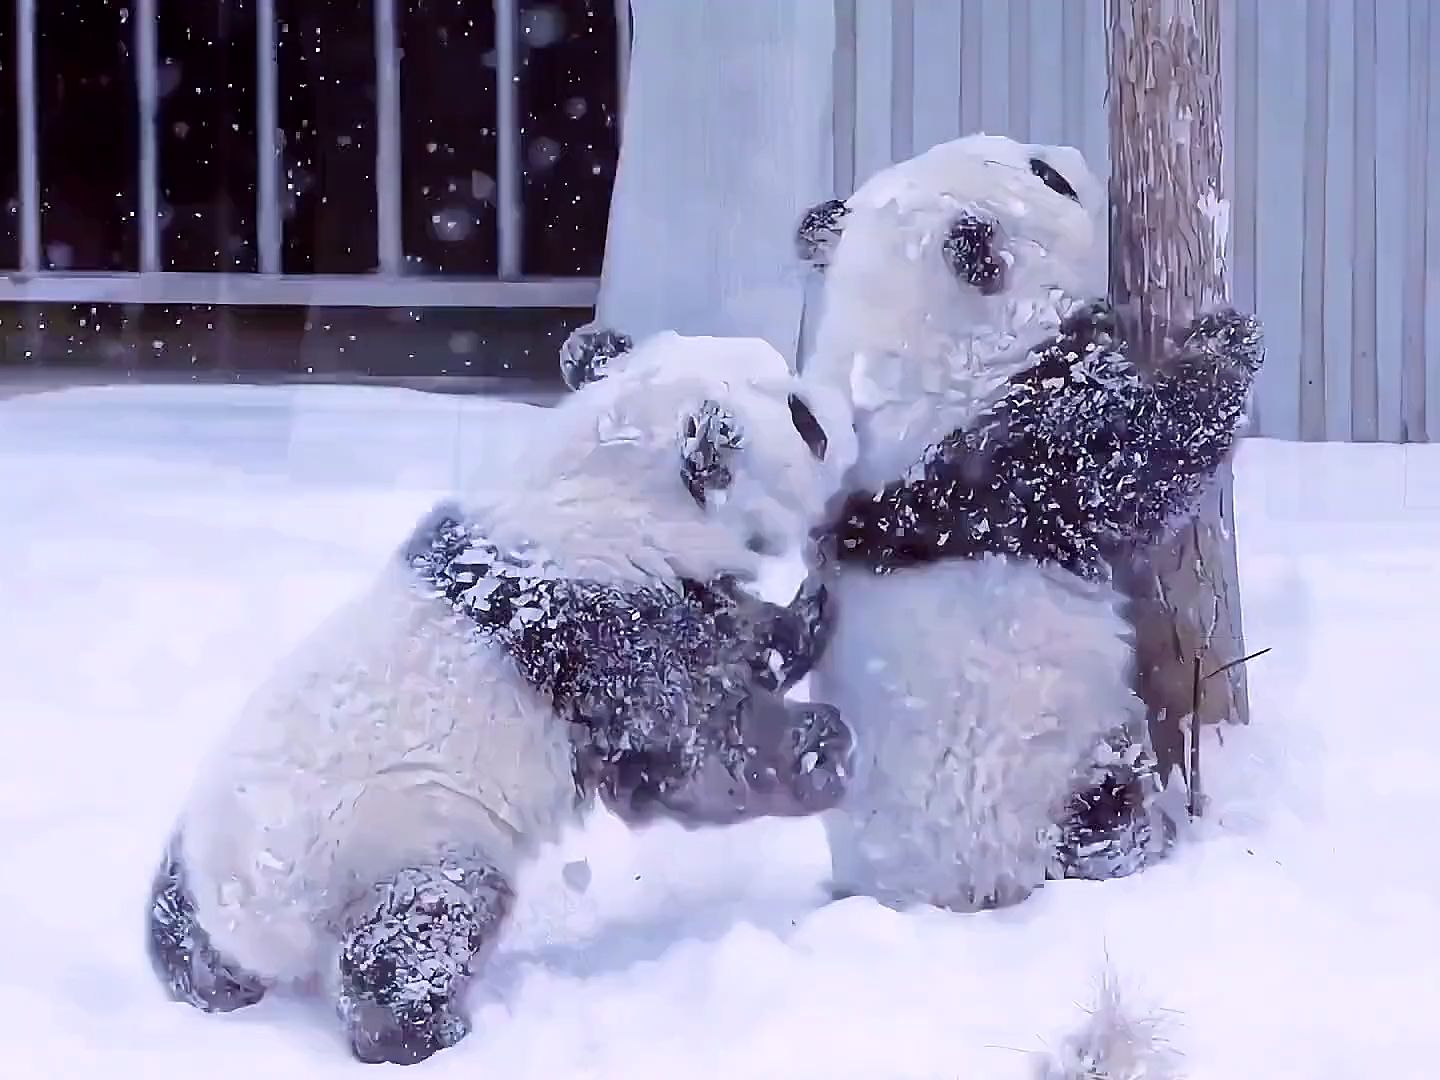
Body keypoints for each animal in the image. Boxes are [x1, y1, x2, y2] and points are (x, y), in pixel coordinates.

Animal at [146, 334, 858, 1071]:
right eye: (804, 418)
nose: (847, 410)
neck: (613, 482)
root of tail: (244, 922)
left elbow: (731, 640)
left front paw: (799, 621)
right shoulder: (603, 635)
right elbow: (690, 750)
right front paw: (820, 742)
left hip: (195, 864)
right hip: (404, 840)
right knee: (415, 937)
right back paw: (429, 1034)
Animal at [794, 133, 1267, 915]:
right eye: (1047, 179)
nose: (1071, 154)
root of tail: (917, 901)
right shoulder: (1022, 444)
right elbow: (1143, 459)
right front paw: (1227, 341)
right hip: (1044, 789)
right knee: (1103, 816)